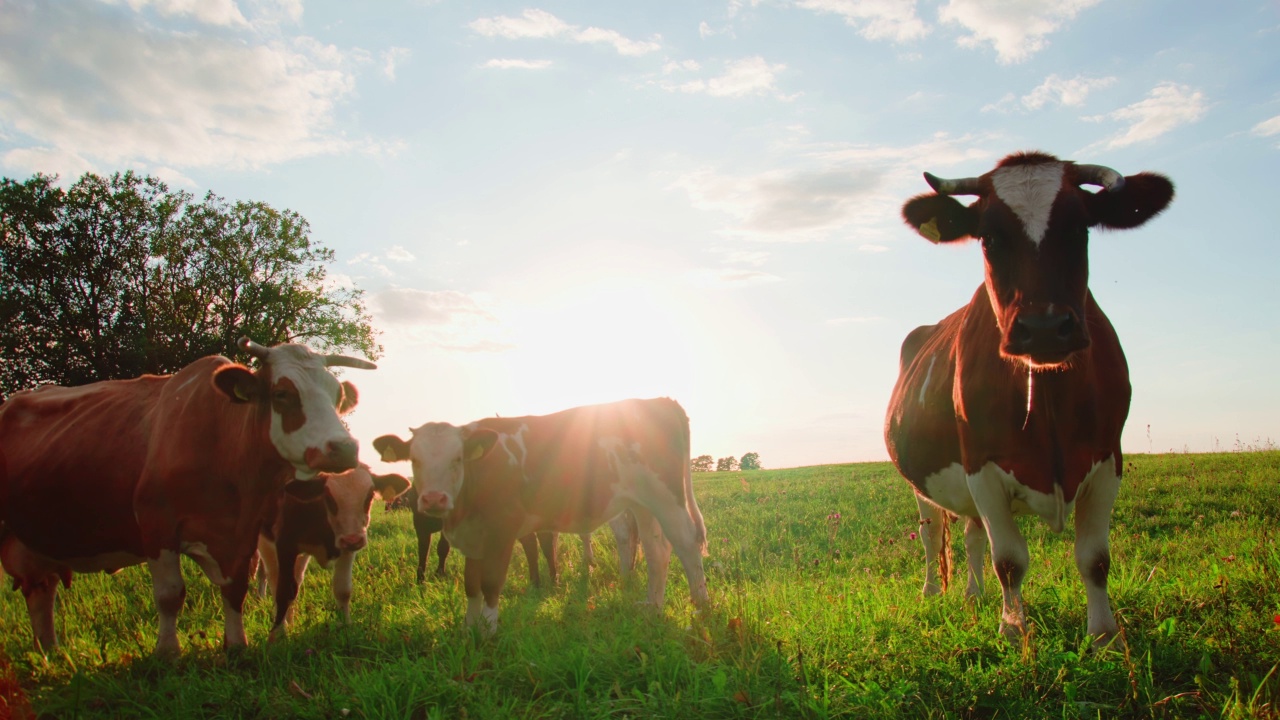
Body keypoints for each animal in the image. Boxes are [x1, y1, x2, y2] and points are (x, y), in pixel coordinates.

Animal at [0, 335, 373, 650]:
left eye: (338, 397)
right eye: (282, 394)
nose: (344, 448)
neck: (222, 443)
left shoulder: (243, 532)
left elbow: (235, 589)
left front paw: (236, 646)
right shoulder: (157, 524)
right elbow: (170, 595)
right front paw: (167, 653)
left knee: (41, 592)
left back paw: (50, 652)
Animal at [261, 461, 414, 635]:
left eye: (369, 495)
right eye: (328, 497)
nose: (353, 539)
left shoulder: (346, 549)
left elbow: (343, 590)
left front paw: (346, 625)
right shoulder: (284, 545)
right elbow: (282, 590)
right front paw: (279, 632)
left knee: (297, 579)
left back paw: (291, 620)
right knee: (274, 579)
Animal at [371, 392, 711, 632]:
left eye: (457, 459)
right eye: (414, 460)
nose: (433, 500)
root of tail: (660, 401)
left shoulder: (502, 529)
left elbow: (491, 584)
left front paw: (488, 633)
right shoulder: (474, 537)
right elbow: (471, 585)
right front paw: (469, 630)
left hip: (666, 497)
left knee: (685, 544)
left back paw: (701, 610)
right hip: (642, 502)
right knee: (657, 550)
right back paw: (652, 607)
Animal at [885, 151, 1172, 645]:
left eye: (1080, 229)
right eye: (988, 237)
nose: (1044, 328)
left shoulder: (1108, 458)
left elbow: (1094, 558)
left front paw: (1104, 635)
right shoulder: (982, 465)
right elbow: (1010, 561)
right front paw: (1013, 629)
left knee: (971, 536)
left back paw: (974, 595)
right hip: (921, 484)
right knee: (932, 534)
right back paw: (932, 594)